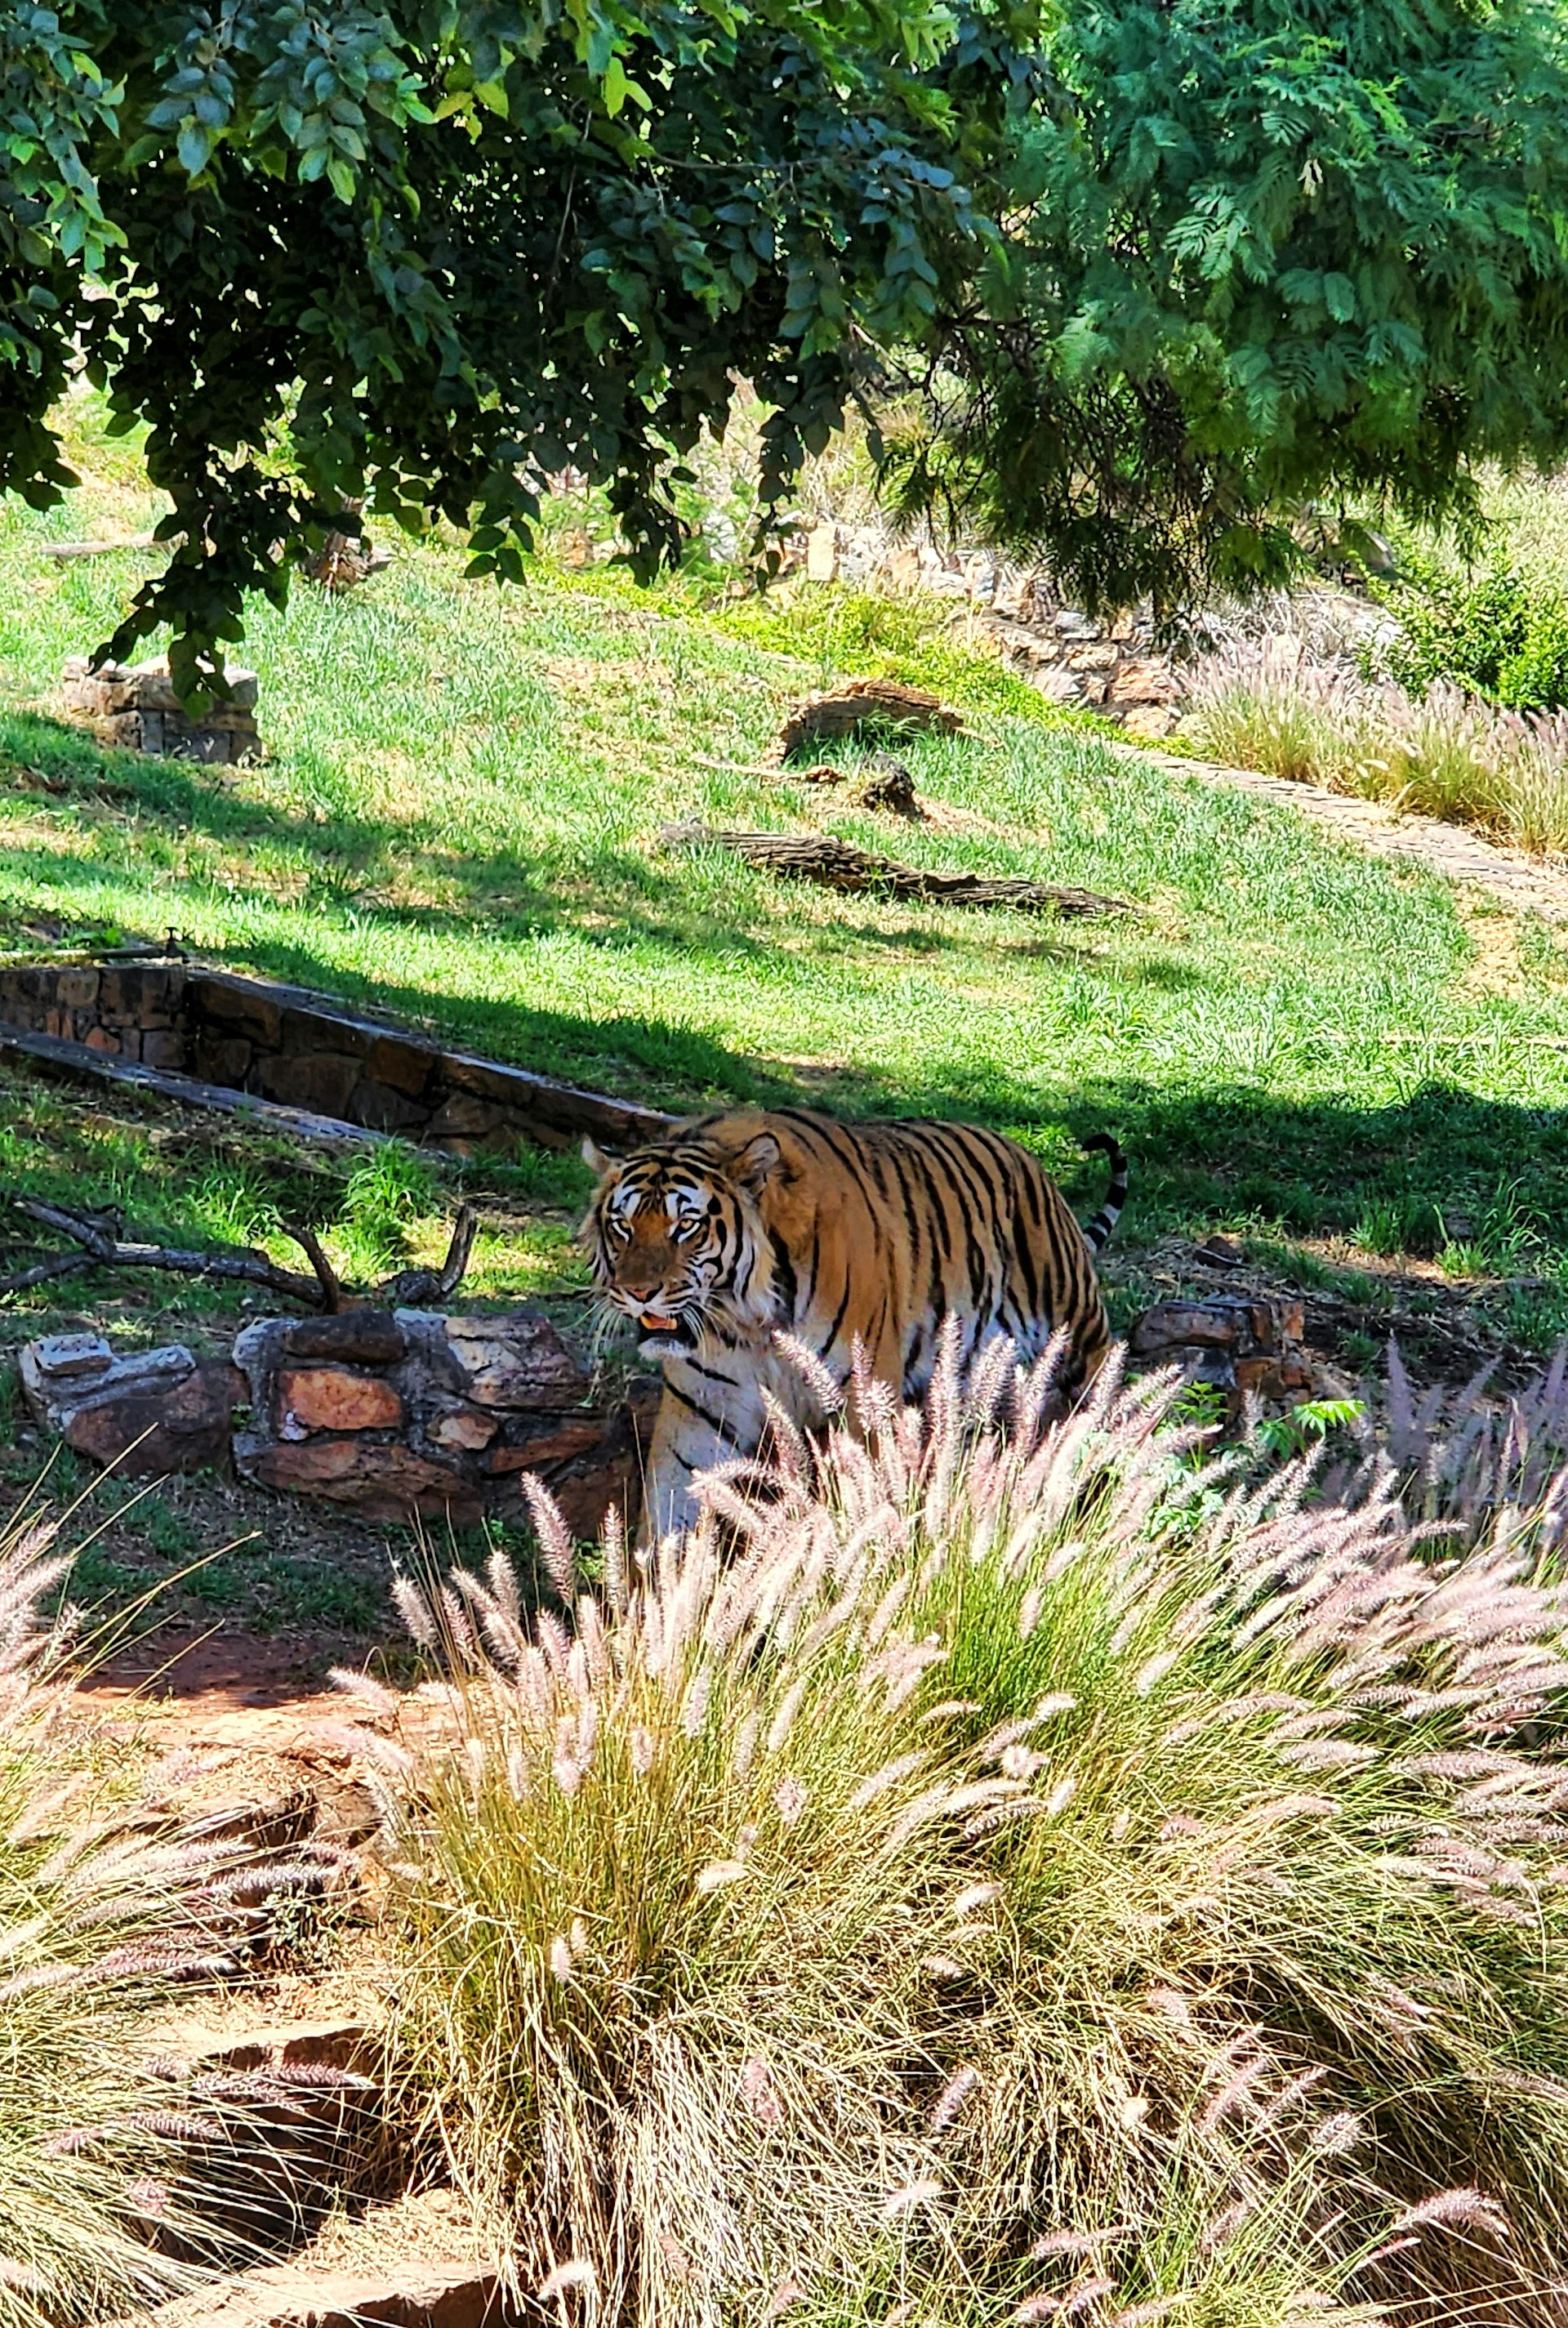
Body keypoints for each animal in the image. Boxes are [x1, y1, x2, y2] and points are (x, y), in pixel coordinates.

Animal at [582, 1105, 1128, 1542]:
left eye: (686, 1227)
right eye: (622, 1226)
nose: (638, 1292)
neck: (747, 1320)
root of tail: (1028, 1159)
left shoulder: (866, 1396)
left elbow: (864, 1496)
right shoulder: (701, 1409)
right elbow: (671, 1507)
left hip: (1077, 1331)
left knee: (1106, 1413)